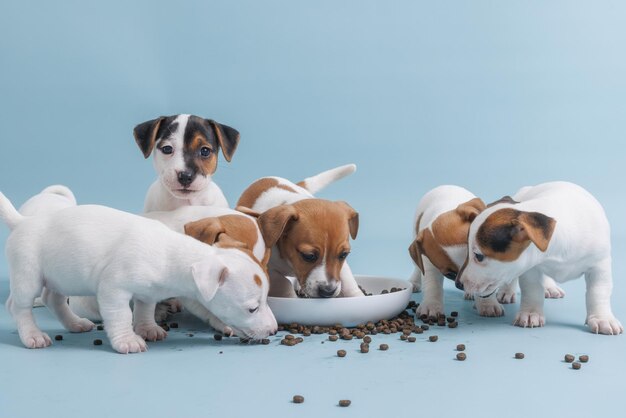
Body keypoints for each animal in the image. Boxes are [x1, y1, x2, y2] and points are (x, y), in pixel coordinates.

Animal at [1, 193, 276, 352]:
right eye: (252, 308)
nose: (274, 331)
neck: (170, 248)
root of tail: (24, 221)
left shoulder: (148, 292)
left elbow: (144, 310)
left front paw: (147, 328)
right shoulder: (113, 289)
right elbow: (122, 315)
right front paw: (127, 340)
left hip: (62, 276)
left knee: (53, 299)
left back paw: (75, 323)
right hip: (29, 276)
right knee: (18, 306)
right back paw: (32, 335)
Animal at [408, 185, 568, 318]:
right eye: (450, 274)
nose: (461, 283)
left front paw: (487, 304)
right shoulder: (429, 263)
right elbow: (432, 285)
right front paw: (431, 305)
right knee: (417, 267)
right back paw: (414, 282)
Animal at [456, 181, 620, 334]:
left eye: (478, 256)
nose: (458, 284)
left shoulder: (600, 266)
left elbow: (598, 292)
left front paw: (602, 318)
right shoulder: (530, 268)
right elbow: (532, 289)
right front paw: (531, 313)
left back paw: (550, 287)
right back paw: (507, 291)